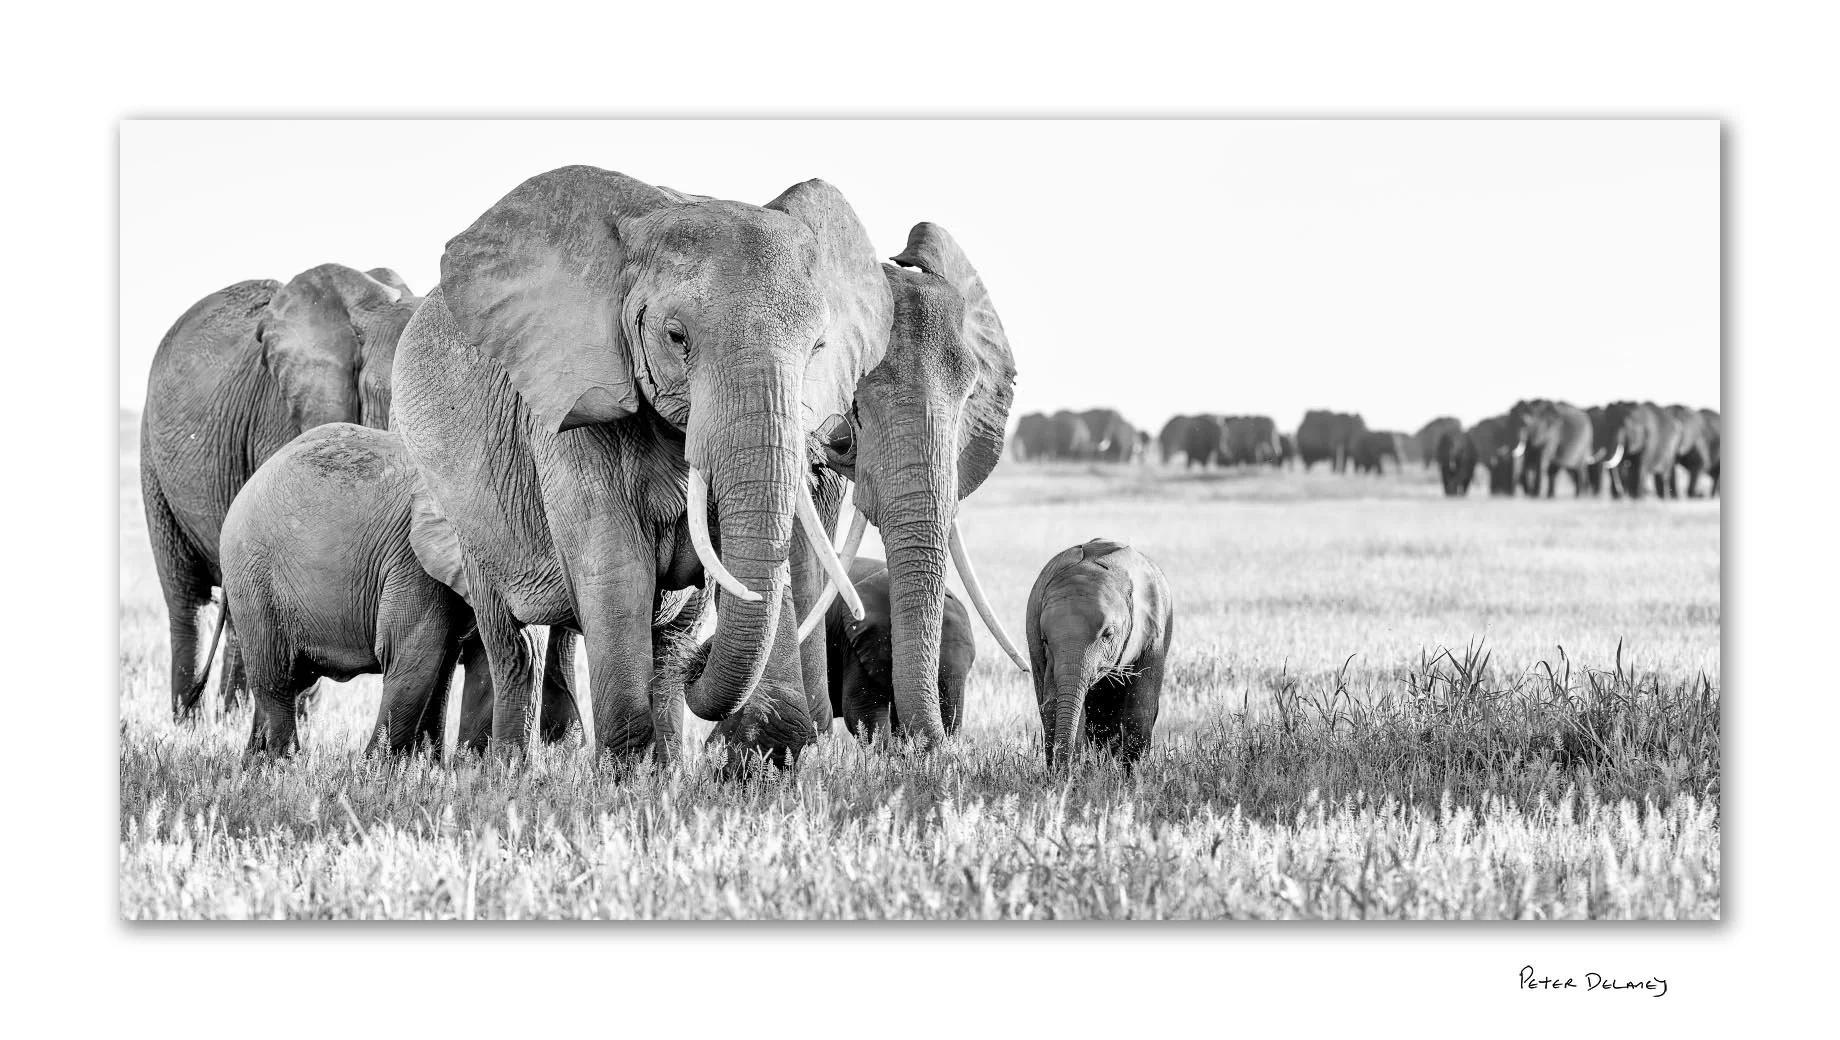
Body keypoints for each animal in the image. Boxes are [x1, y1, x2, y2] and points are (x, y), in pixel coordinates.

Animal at [392, 166, 884, 764]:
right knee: (516, 647)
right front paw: (627, 771)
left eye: (817, 348)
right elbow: (615, 565)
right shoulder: (571, 396)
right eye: (677, 336)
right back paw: (508, 769)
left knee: (668, 644)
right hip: (469, 523)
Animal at [1026, 539, 1173, 770]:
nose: (1063, 772)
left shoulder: (1152, 635)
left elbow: (1138, 713)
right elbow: (1056, 706)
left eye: (1108, 634)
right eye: (1045, 640)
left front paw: (1131, 776)